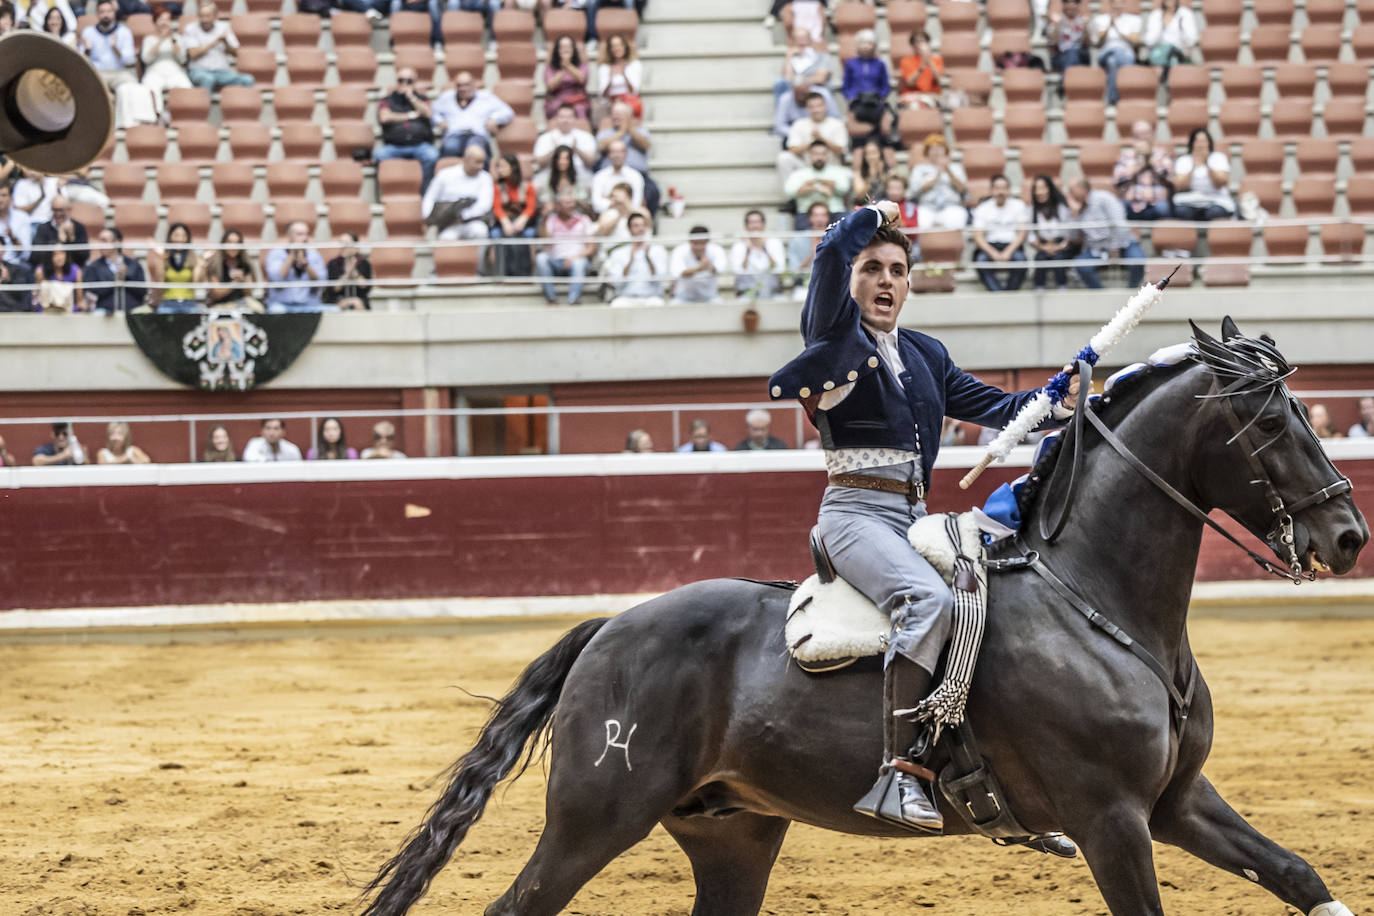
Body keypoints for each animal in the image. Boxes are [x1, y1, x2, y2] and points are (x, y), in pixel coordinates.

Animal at [359, 318, 1368, 911]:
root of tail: (609, 629)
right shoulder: (1111, 818)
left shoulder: (1175, 800)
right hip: (594, 814)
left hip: (731, 830)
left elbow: (1299, 873)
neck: (1097, 602)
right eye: (1269, 422)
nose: (1349, 534)